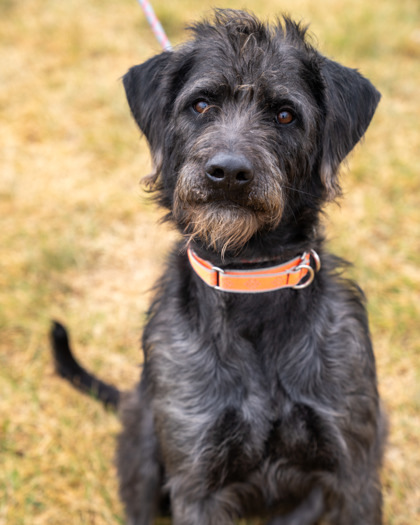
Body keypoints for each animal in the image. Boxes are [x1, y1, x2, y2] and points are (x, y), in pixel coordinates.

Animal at [52, 9, 388, 524]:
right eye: (202, 104)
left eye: (285, 114)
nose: (228, 173)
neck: (250, 279)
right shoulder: (198, 478)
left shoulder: (353, 474)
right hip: (143, 447)